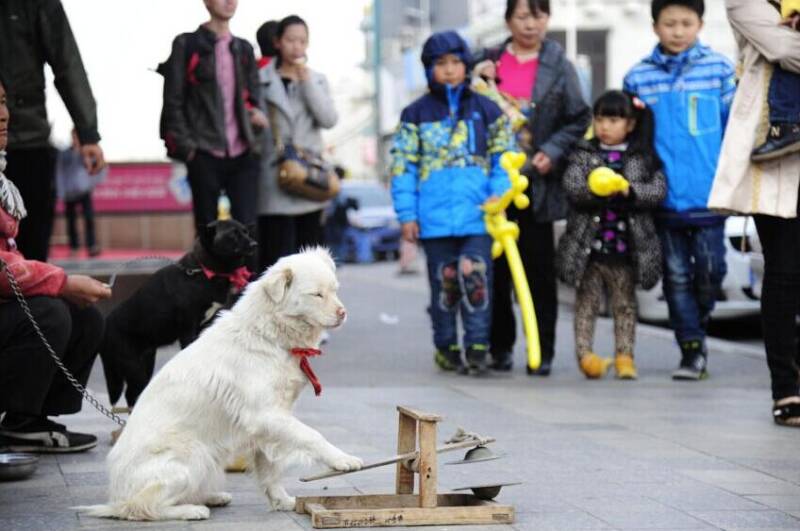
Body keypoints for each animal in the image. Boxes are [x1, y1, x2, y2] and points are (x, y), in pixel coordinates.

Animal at [76, 250, 364, 524]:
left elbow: (270, 469)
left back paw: (211, 497)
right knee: (139, 507)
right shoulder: (266, 415)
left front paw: (282, 501)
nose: (343, 313)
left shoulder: (268, 424)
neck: (268, 334)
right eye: (316, 294)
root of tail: (116, 494)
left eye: (335, 289)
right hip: (193, 454)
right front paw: (342, 459)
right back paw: (191, 510)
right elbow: (312, 436)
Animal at [99, 219, 256, 408]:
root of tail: (106, 325)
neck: (204, 271)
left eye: (246, 232)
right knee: (132, 393)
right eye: (233, 234)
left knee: (132, 395)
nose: (254, 244)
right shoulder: (188, 330)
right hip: (133, 367)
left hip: (146, 363)